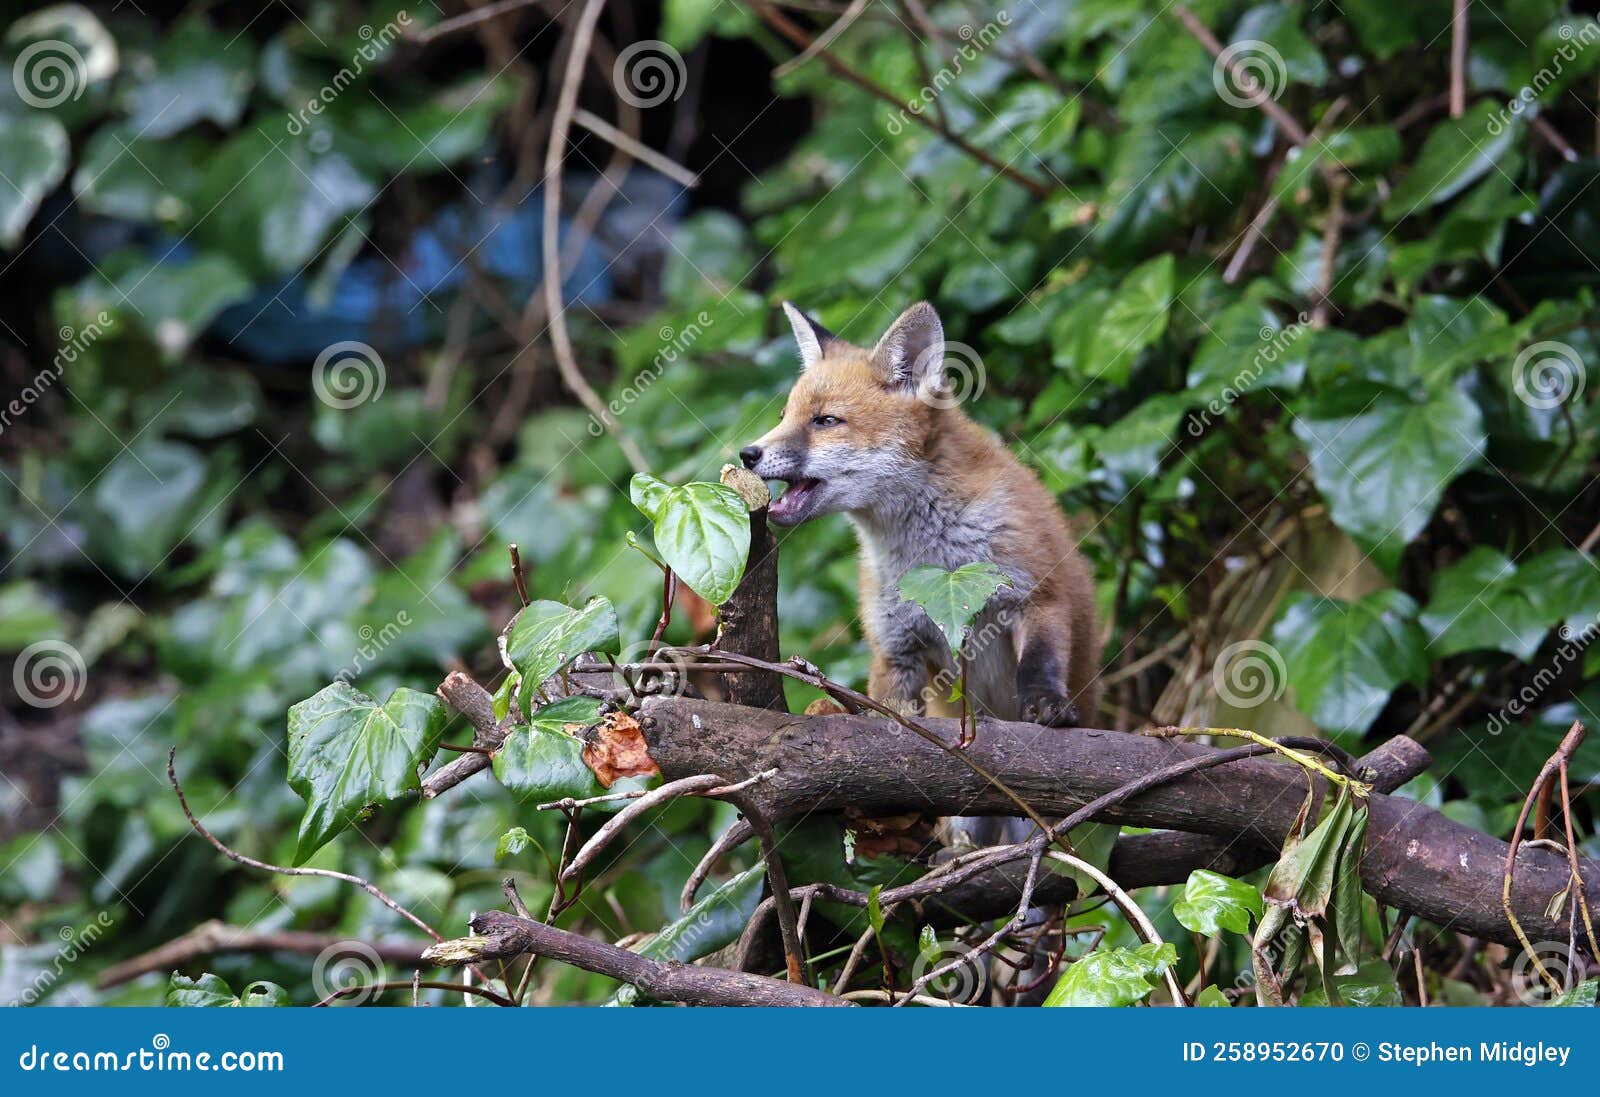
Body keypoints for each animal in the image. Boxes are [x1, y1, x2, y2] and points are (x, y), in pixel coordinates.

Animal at [740, 300, 1102, 737]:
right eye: (784, 416)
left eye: (825, 421)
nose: (748, 454)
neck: (938, 559)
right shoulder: (895, 646)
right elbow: (889, 711)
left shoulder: (1039, 593)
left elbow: (1039, 662)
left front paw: (1047, 703)